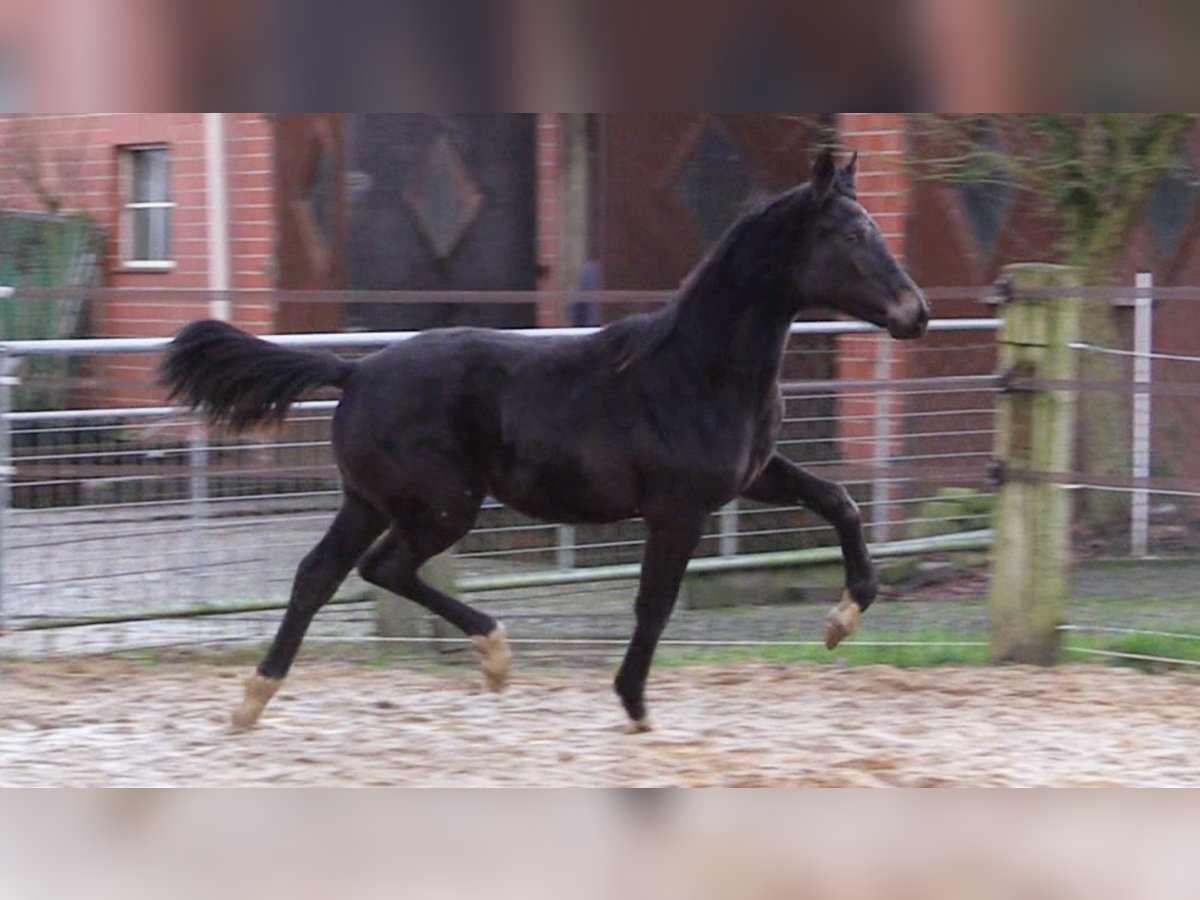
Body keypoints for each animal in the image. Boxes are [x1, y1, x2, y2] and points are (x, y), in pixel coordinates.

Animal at [159, 151, 926, 734]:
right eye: (851, 236)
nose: (915, 313)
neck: (694, 369)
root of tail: (357, 370)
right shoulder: (679, 508)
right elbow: (654, 603)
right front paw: (634, 704)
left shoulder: (753, 476)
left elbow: (839, 500)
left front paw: (844, 617)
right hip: (440, 506)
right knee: (385, 568)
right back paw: (494, 654)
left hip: (371, 501)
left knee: (324, 575)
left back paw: (256, 699)